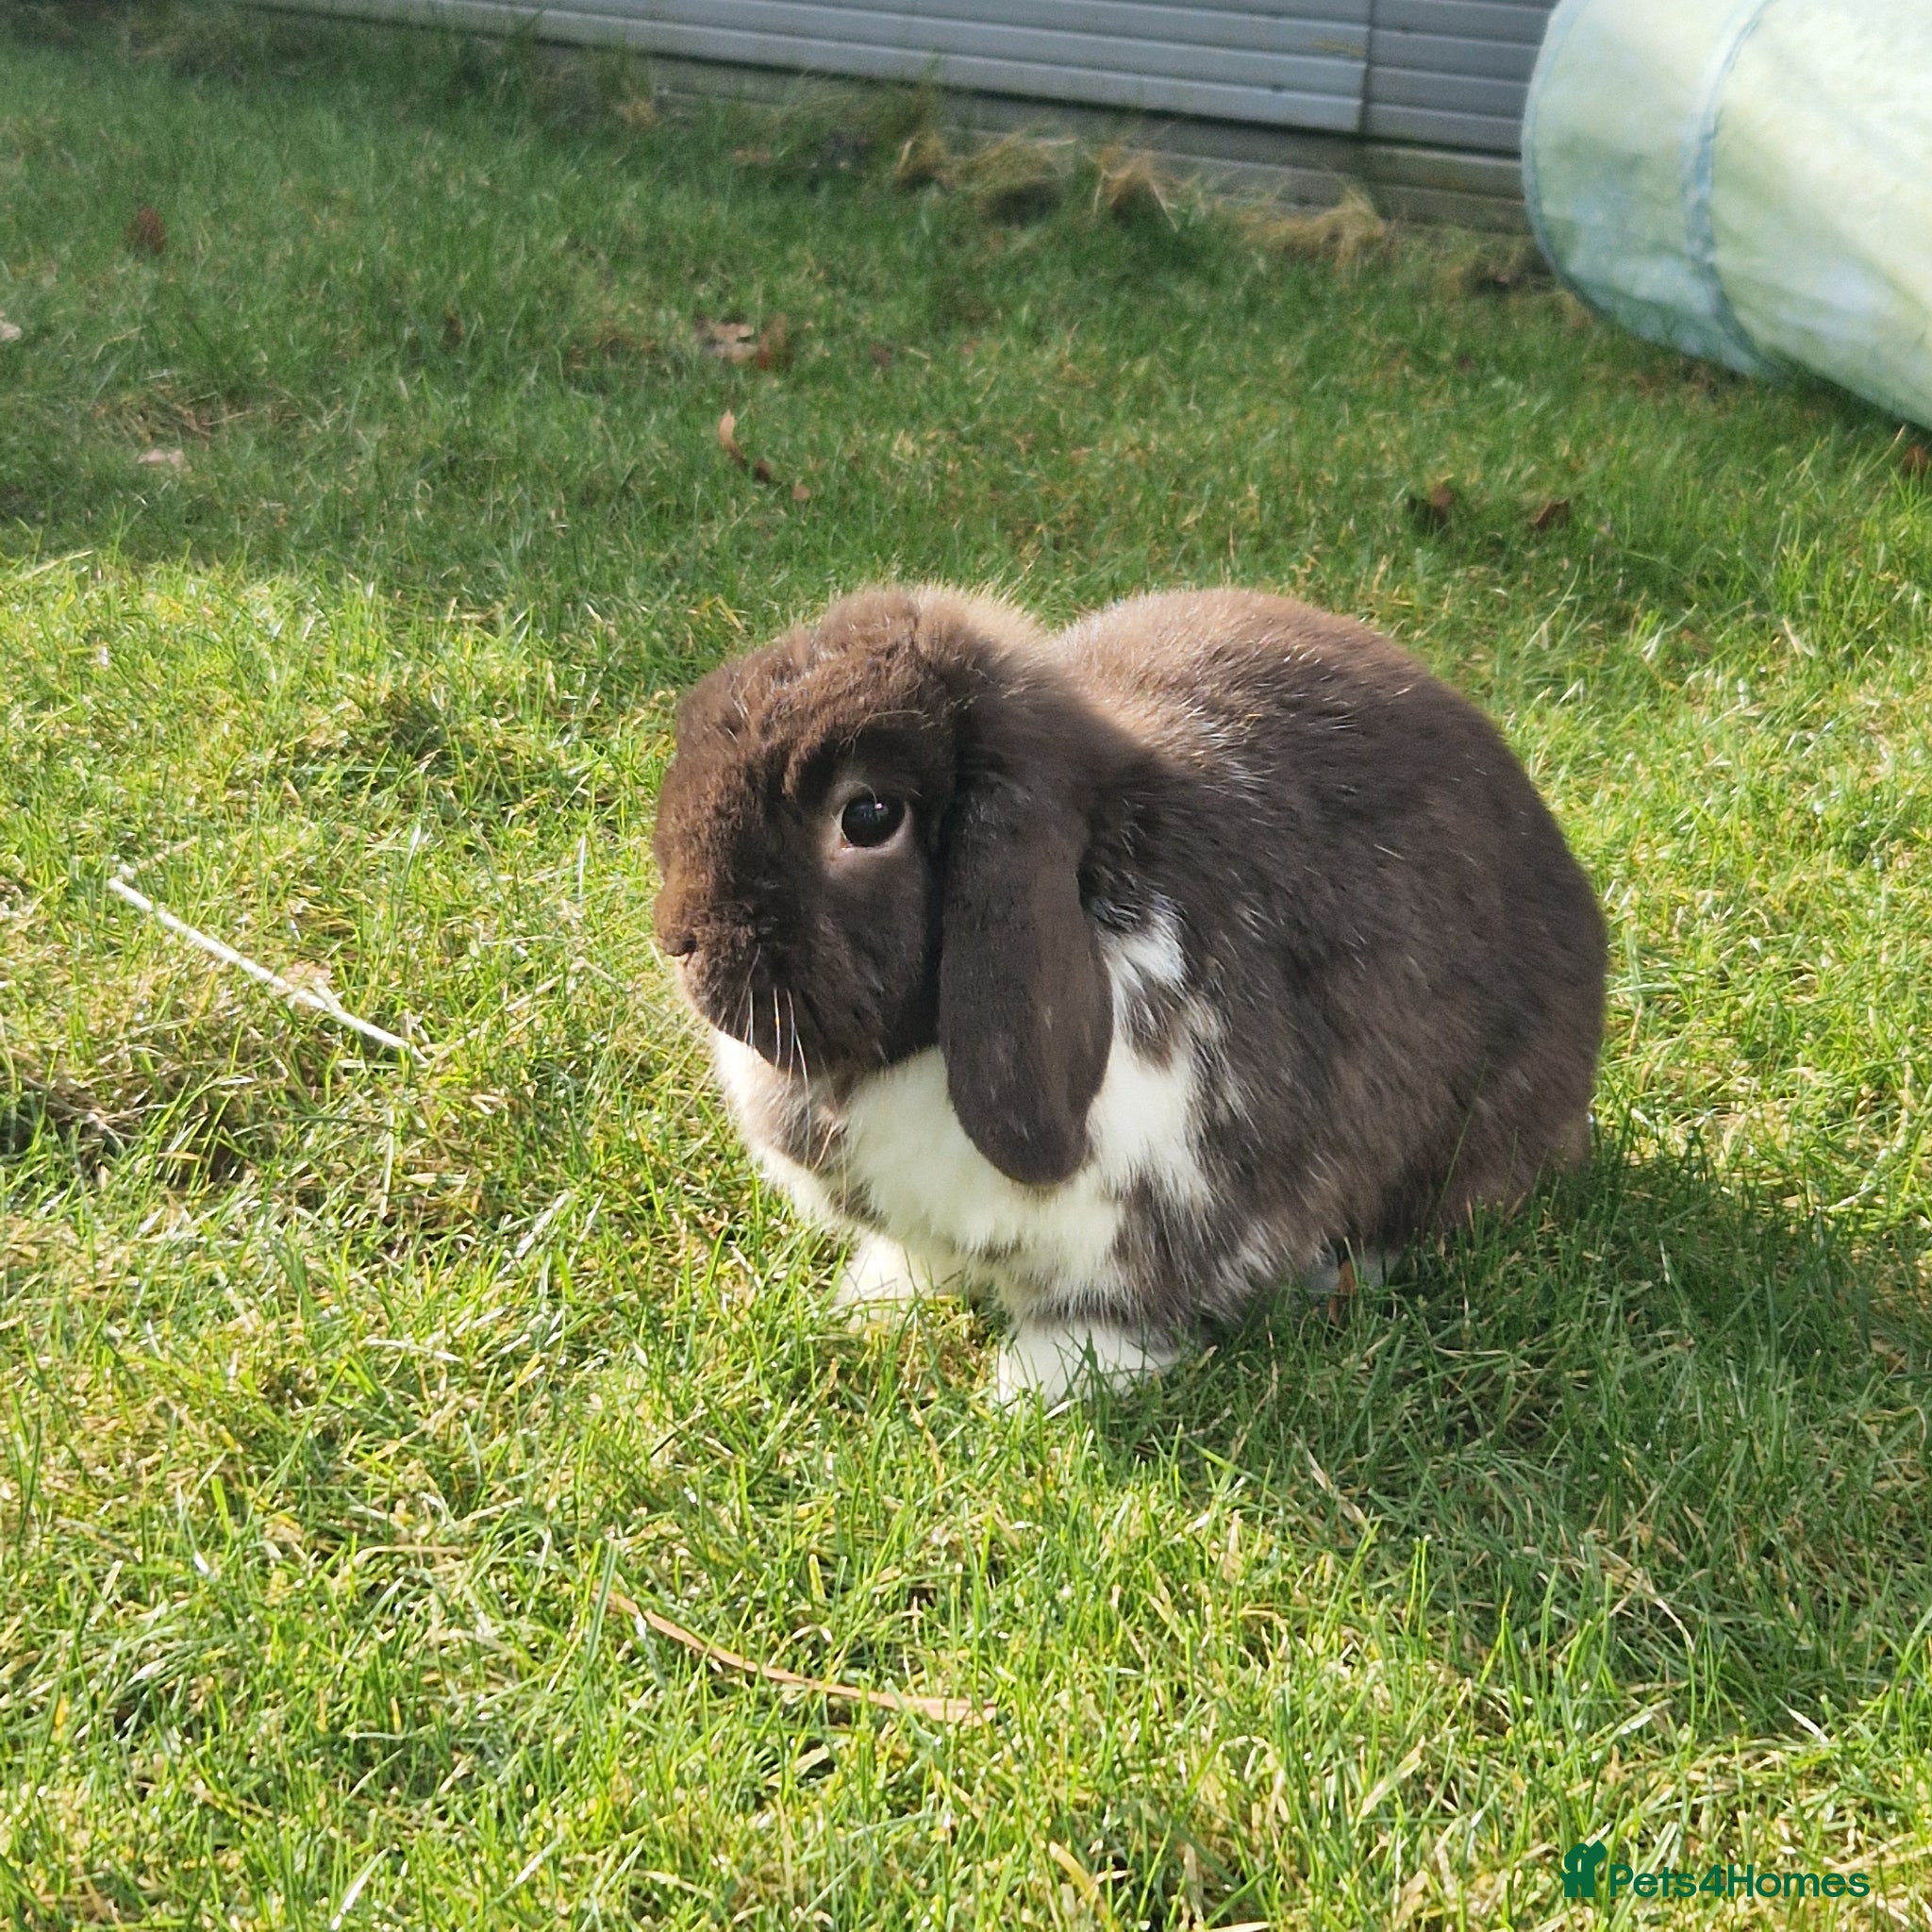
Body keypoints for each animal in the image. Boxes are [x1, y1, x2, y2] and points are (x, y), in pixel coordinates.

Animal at [652, 584, 1606, 1402]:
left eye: (868, 816)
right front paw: (873, 1304)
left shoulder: (1162, 1214)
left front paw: (1031, 1389)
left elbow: (1113, 1316)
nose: (680, 940)